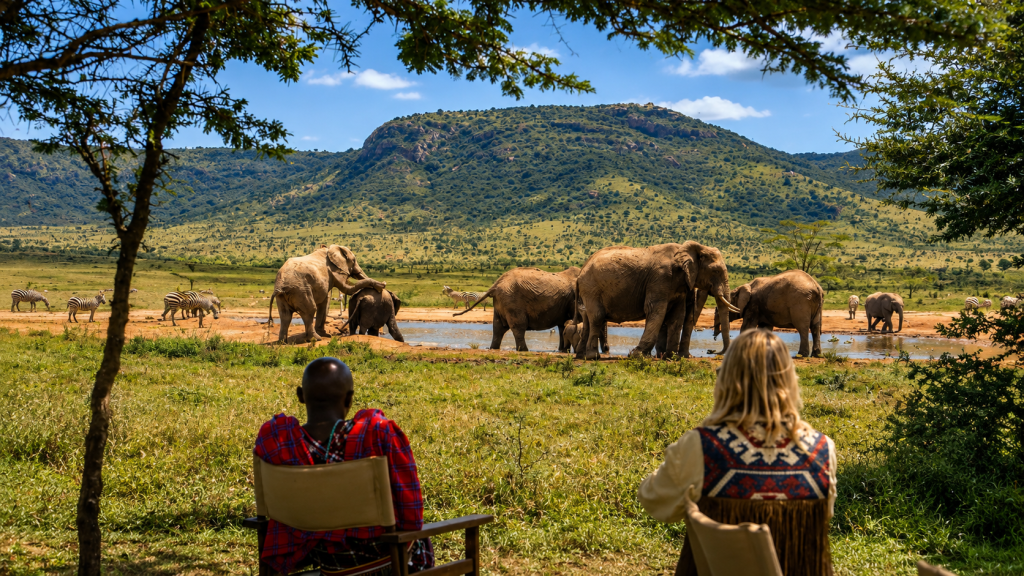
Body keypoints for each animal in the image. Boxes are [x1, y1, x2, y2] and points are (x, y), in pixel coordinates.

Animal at [574, 242, 740, 360]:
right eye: (716, 271)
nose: (713, 351)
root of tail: (581, 271)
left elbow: (677, 316)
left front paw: (671, 357)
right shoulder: (660, 278)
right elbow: (655, 310)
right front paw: (636, 355)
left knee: (588, 319)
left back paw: (582, 356)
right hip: (592, 288)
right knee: (597, 317)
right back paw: (593, 357)